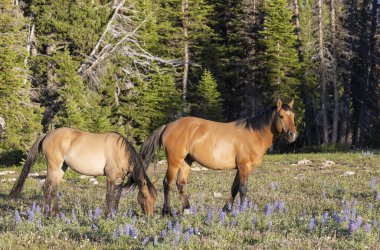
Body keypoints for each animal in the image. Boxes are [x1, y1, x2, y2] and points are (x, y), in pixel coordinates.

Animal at [9, 128, 157, 216]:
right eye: (145, 196)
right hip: (53, 167)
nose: (149, 216)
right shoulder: (110, 177)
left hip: (62, 168)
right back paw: (47, 214)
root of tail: (47, 135)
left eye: (155, 198)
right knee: (47, 187)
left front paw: (114, 214)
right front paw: (108, 216)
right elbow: (109, 196)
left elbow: (117, 196)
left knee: (54, 189)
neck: (120, 151)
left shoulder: (119, 179)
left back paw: (57, 214)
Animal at [140, 99, 296, 215]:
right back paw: (167, 211)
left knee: (181, 183)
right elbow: (243, 189)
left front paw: (227, 209)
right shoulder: (244, 166)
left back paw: (187, 209)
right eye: (281, 116)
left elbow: (234, 188)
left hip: (186, 161)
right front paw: (242, 210)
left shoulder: (240, 168)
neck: (253, 134)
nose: (292, 135)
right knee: (168, 183)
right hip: (174, 161)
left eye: (293, 116)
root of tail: (168, 125)